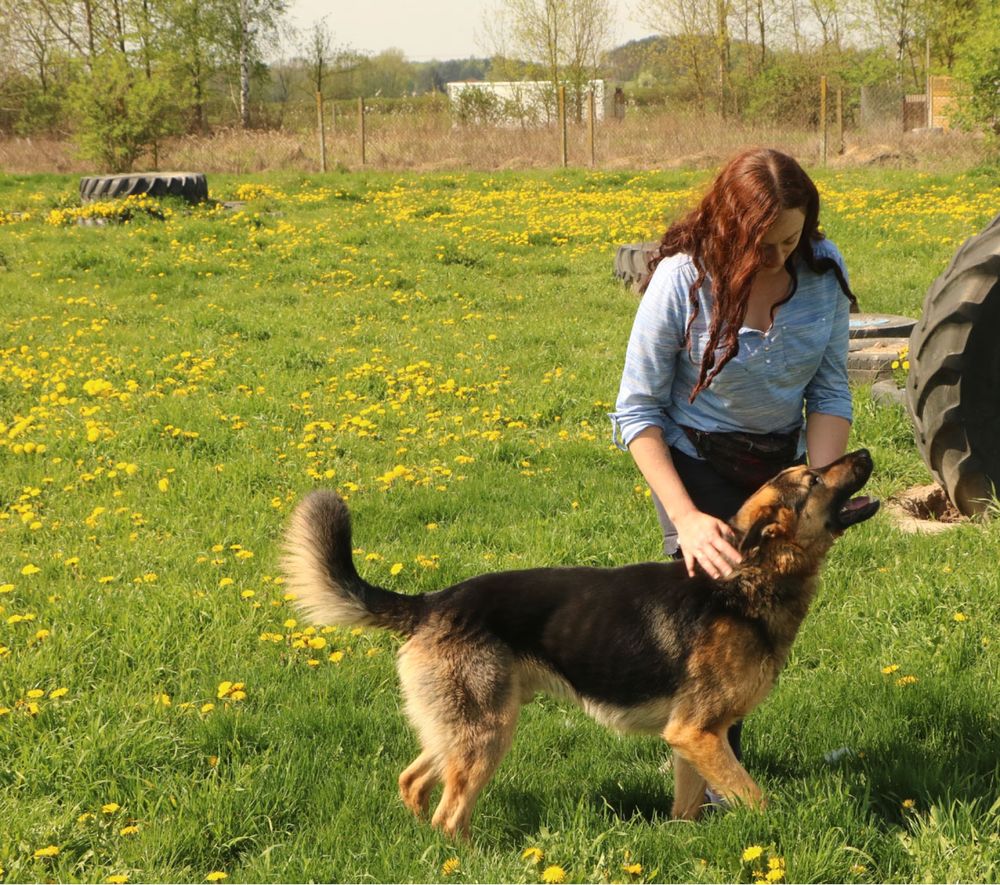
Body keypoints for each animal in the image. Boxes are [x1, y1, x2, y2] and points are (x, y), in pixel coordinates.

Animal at [280, 448, 876, 836]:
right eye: (814, 478)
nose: (866, 451)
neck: (750, 575)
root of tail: (431, 601)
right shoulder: (699, 733)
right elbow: (756, 799)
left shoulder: (693, 738)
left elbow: (687, 808)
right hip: (487, 733)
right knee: (450, 814)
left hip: (465, 727)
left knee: (413, 782)